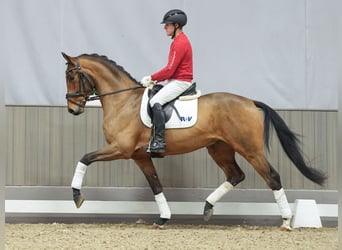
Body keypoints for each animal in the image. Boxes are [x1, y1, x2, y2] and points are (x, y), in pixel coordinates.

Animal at [61, 52, 326, 230]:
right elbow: (156, 186)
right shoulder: (140, 155)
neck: (124, 101)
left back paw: (286, 221)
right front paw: (163, 218)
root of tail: (251, 102)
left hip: (250, 150)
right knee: (235, 175)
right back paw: (207, 207)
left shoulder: (120, 149)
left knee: (272, 177)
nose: (73, 109)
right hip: (219, 149)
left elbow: (84, 158)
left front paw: (76, 196)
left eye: (71, 76)